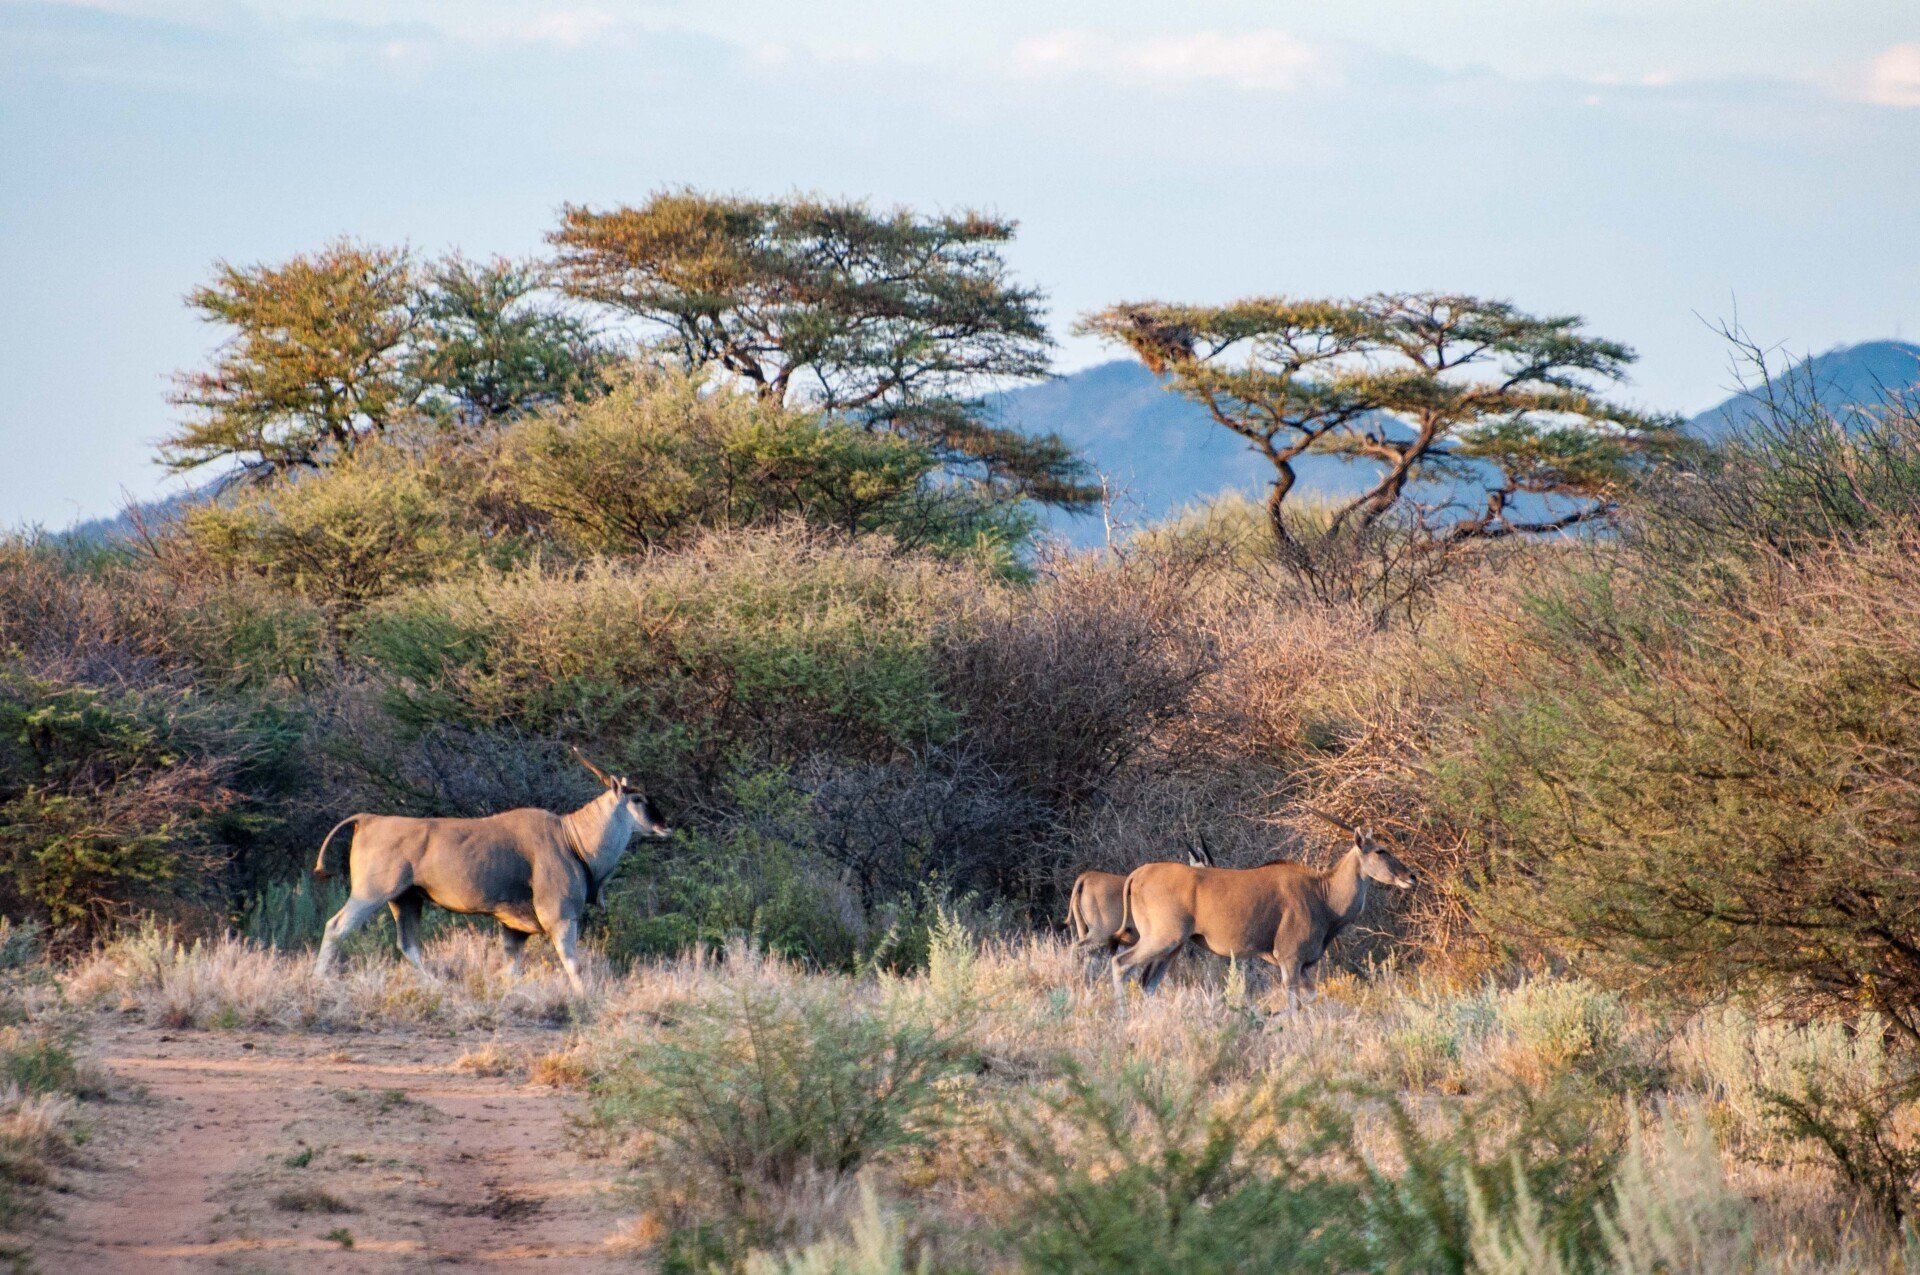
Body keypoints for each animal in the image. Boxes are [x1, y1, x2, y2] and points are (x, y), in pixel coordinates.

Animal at [310, 749, 672, 993]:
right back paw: (317, 980)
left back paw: (439, 987)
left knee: (408, 944)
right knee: (336, 927)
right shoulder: (561, 916)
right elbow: (574, 963)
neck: (572, 838)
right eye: (638, 799)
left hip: (406, 899)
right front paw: (586, 998)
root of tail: (368, 819)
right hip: (370, 894)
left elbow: (511, 967)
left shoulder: (514, 928)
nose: (667, 825)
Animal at [1110, 809, 1415, 1003]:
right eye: (1381, 850)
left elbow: (1310, 997)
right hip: (1162, 939)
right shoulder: (1290, 960)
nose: (1410, 876)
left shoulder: (1302, 966)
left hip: (1172, 947)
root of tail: (1138, 874)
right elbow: (1293, 1003)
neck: (1321, 893)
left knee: (1148, 984)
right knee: (1120, 964)